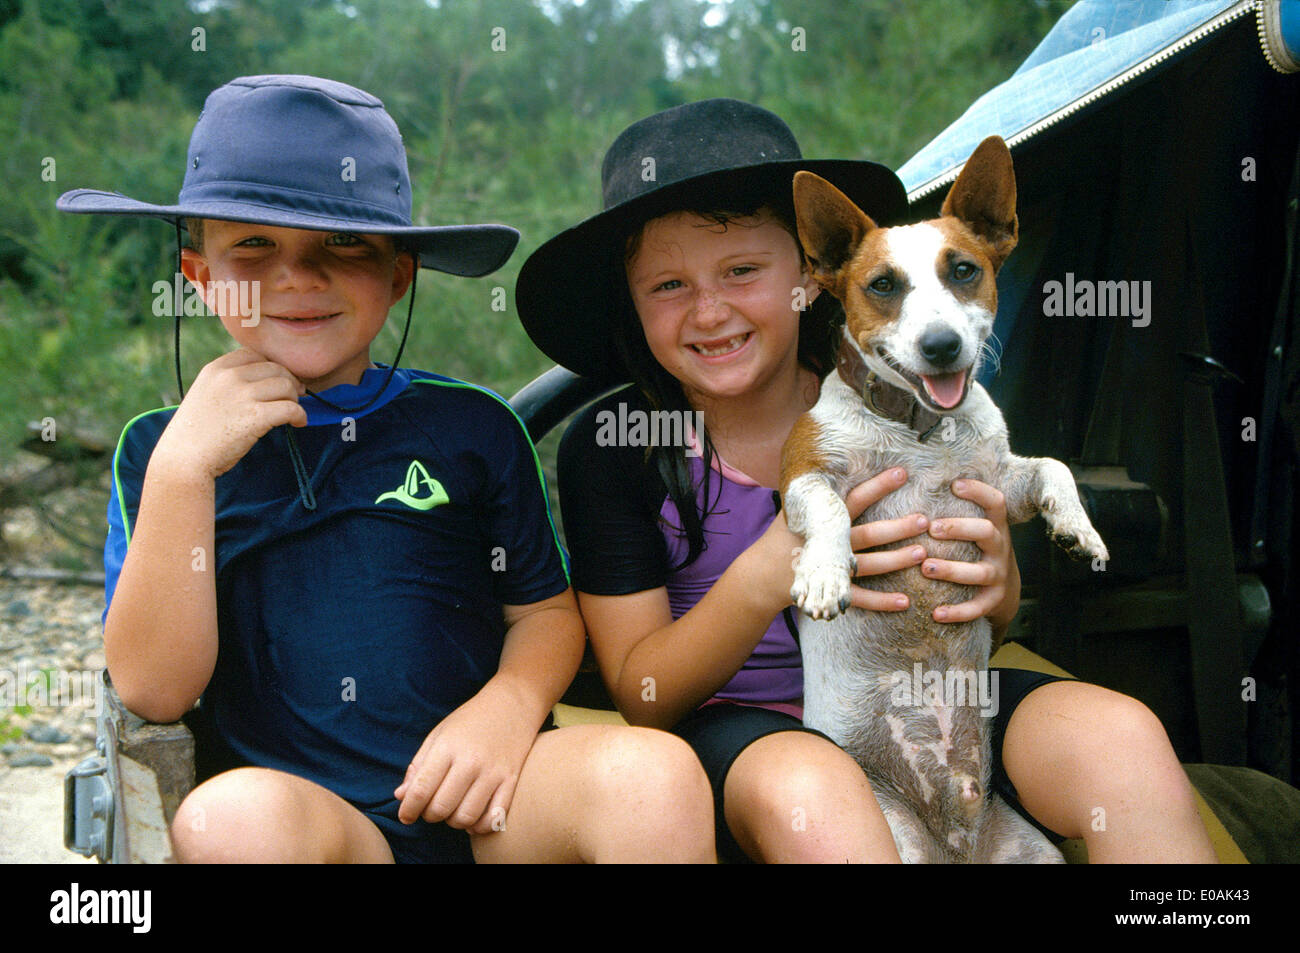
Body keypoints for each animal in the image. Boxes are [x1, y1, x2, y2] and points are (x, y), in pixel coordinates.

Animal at [780, 135, 1107, 863]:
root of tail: (957, 842)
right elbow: (830, 507)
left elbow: (1053, 469)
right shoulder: (802, 473)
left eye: (963, 270)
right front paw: (826, 571)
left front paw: (1078, 529)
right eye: (882, 286)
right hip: (886, 834)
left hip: (1033, 851)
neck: (922, 431)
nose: (941, 345)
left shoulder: (1001, 482)